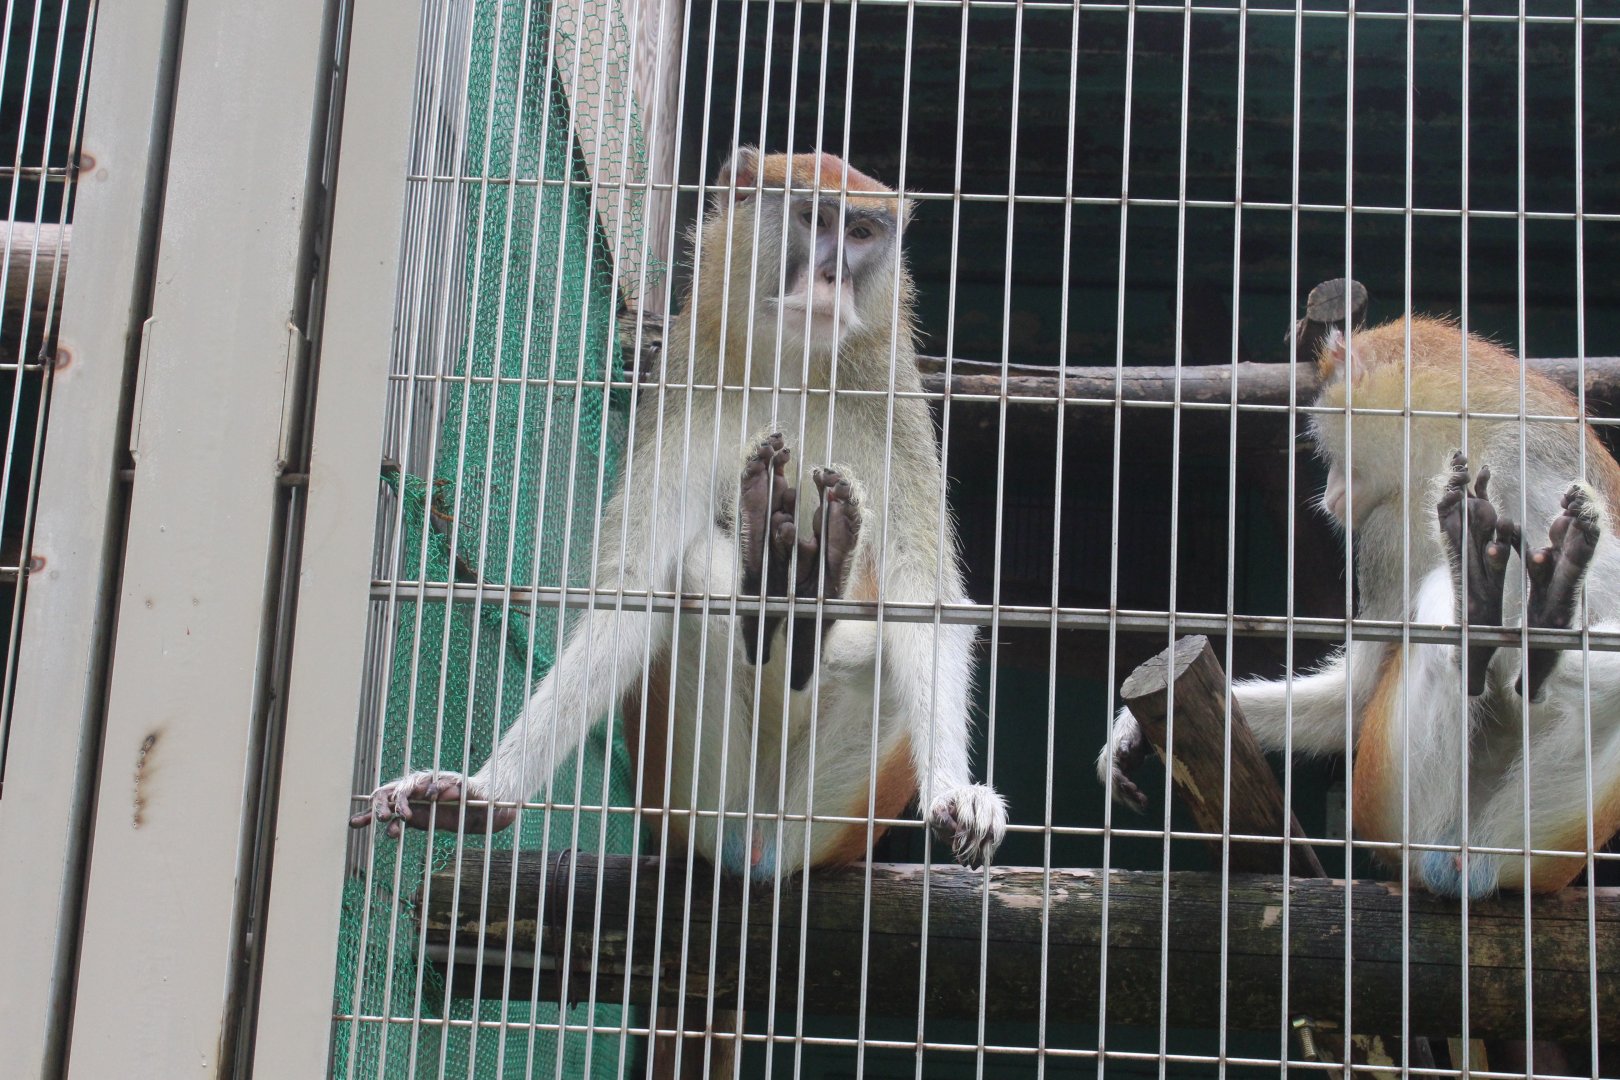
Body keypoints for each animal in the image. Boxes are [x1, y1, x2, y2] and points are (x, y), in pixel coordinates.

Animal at [351, 149, 1007, 879]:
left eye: (863, 233)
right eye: (815, 218)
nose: (834, 274)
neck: (788, 360)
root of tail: (760, 851)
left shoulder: (886, 393)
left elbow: (925, 602)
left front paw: (958, 794)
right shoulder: (687, 385)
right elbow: (630, 596)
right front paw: (481, 793)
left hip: (841, 818)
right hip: (691, 794)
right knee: (695, 571)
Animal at [1099, 315, 1620, 898]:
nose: (1329, 494)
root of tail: (1467, 859)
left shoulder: (1536, 465)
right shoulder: (1386, 532)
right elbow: (1357, 691)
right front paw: (1130, 730)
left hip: (1551, 844)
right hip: (1390, 803)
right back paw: (1486, 620)